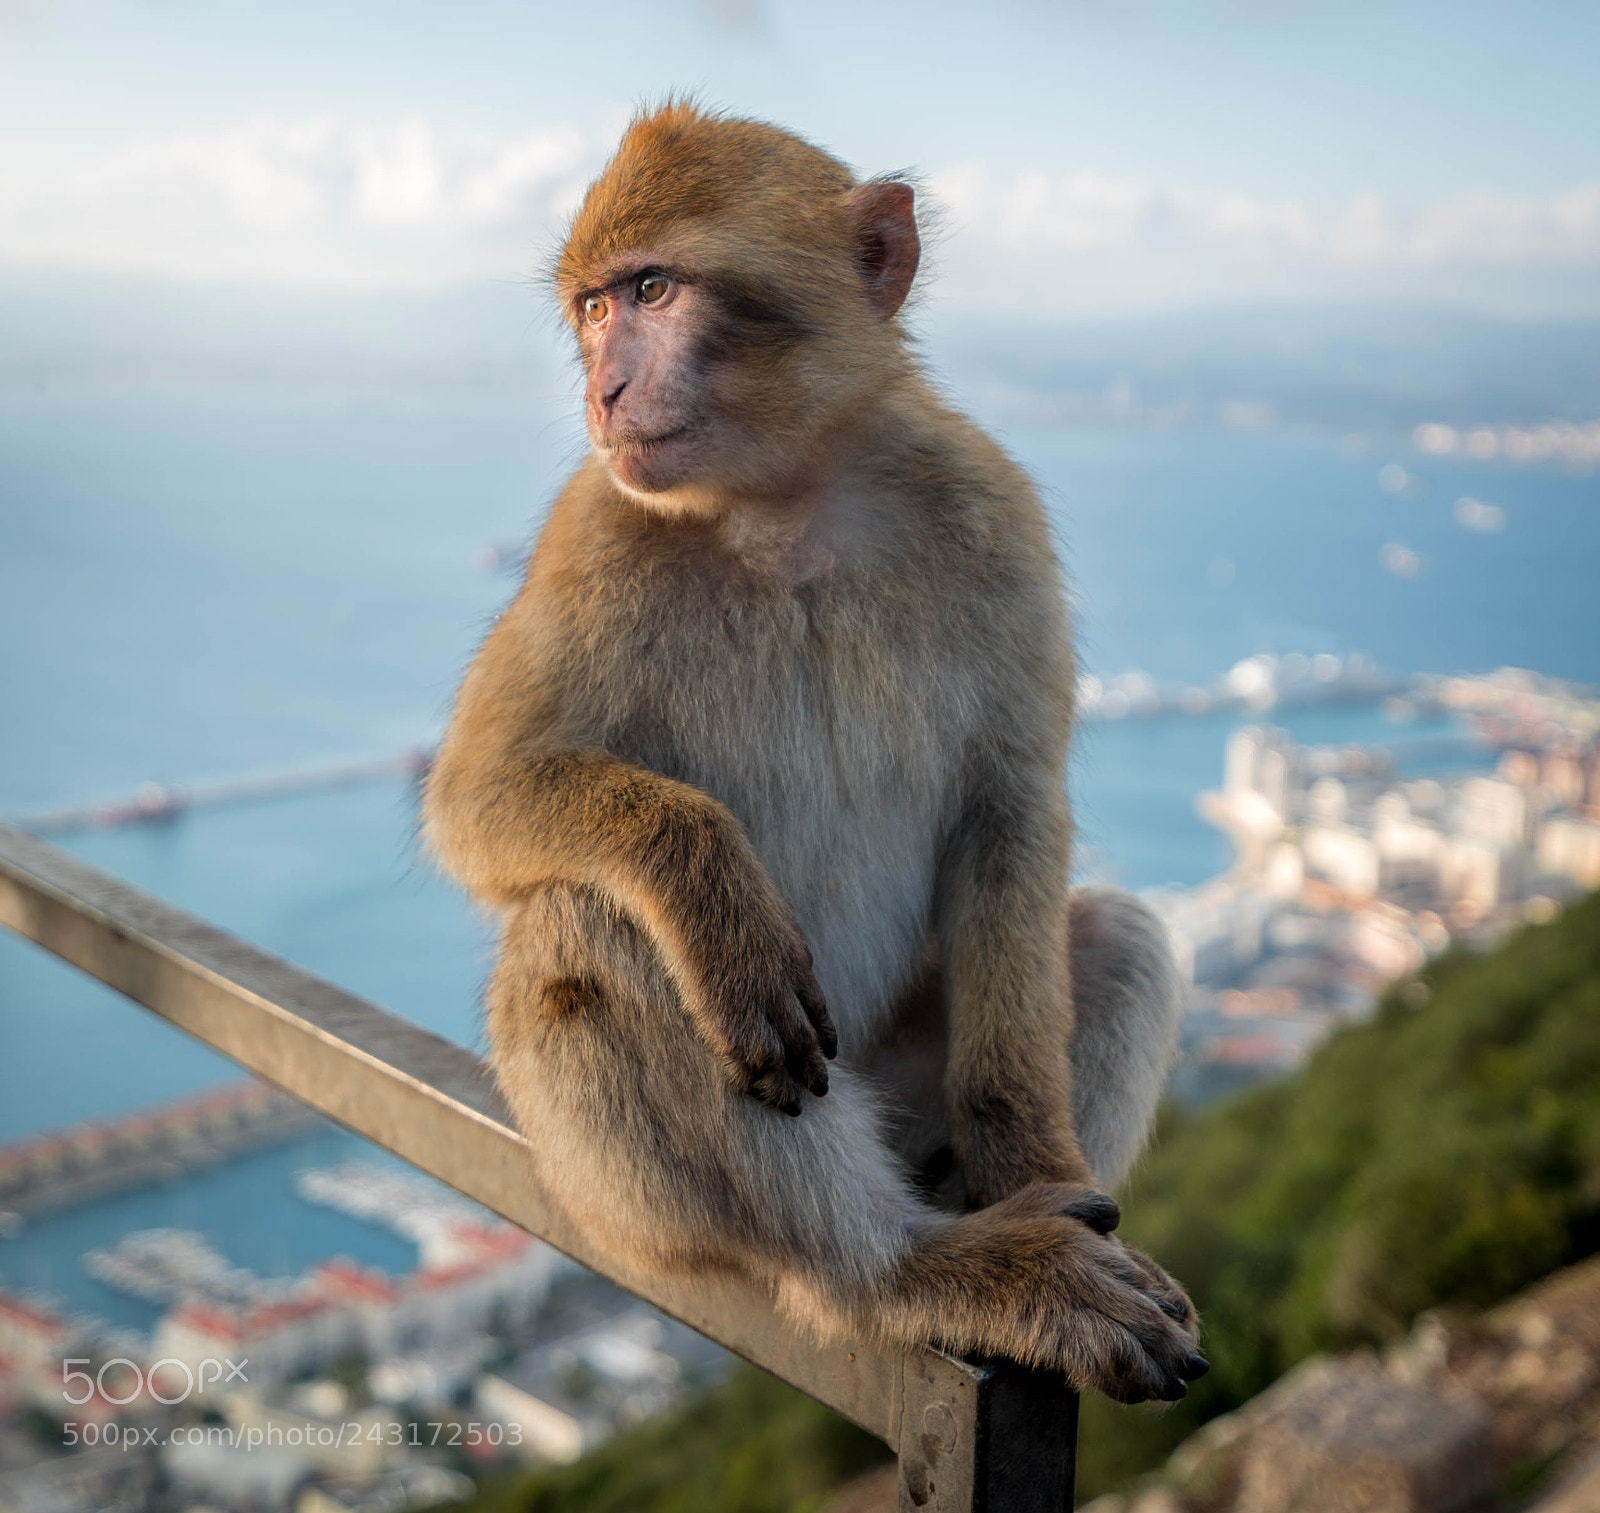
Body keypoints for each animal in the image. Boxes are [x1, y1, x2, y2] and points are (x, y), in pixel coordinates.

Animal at [424, 103, 1207, 1404]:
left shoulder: (993, 514)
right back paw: (909, 1271)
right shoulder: (597, 532)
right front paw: (710, 885)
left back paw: (1012, 1214)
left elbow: (1010, 809)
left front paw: (1033, 1157)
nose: (603, 387)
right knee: (596, 928)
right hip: (633, 1205)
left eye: (652, 288)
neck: (787, 504)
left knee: (1116, 930)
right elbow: (477, 795)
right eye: (592, 307)